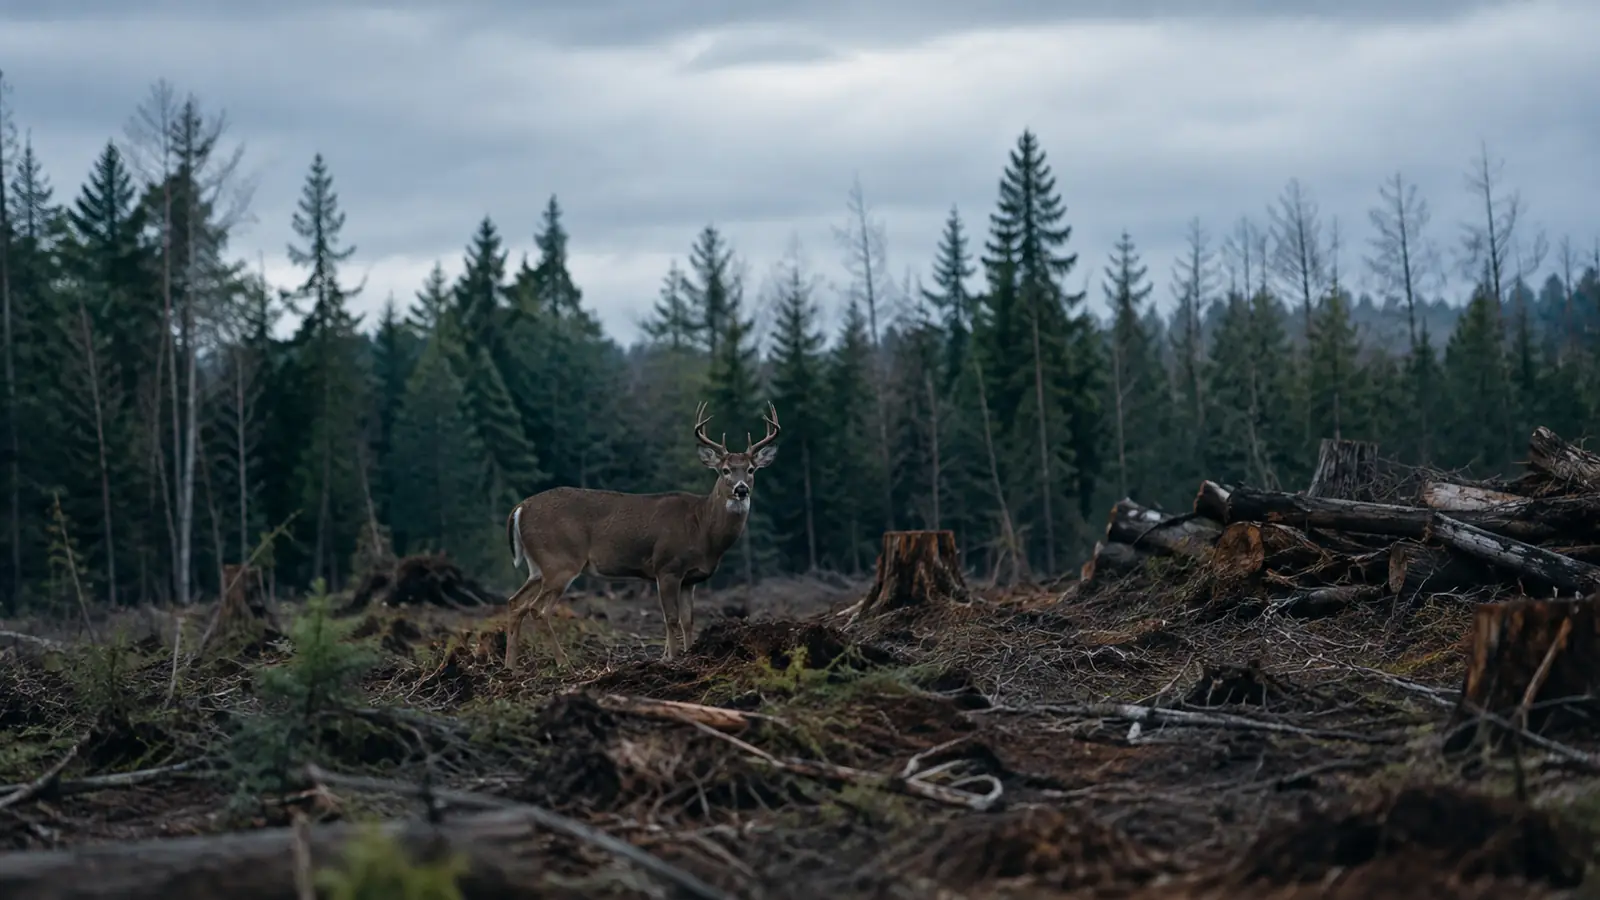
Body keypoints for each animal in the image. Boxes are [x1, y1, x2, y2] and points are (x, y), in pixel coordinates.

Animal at [501, 401, 780, 671]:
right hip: (560, 560)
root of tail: (520, 508)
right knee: (537, 609)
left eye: (751, 469)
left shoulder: (689, 579)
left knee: (515, 603)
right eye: (725, 470)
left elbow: (688, 620)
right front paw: (670, 658)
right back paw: (563, 663)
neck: (702, 530)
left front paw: (687, 653)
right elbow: (671, 618)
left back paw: (510, 667)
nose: (741, 490)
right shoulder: (666, 567)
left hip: (538, 566)